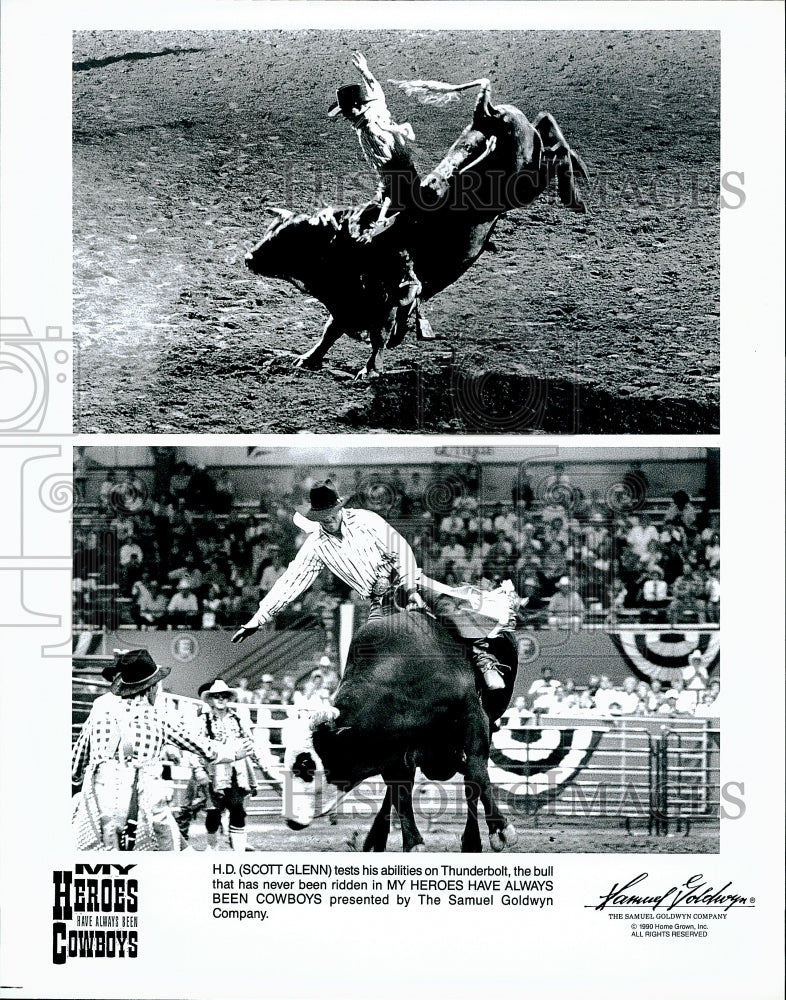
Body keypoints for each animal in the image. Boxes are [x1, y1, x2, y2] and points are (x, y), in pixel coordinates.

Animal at [247, 66, 588, 376]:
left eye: (289, 238)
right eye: (271, 230)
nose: (249, 257)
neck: (350, 243)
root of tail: (487, 114)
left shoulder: (388, 301)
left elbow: (378, 337)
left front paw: (369, 370)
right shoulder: (348, 304)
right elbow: (331, 331)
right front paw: (308, 359)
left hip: (526, 181)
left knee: (555, 149)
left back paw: (575, 192)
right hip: (528, 165)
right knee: (545, 126)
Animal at [278, 600, 516, 852]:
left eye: (306, 764)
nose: (290, 820)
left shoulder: (473, 717)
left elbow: (476, 773)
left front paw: (499, 830)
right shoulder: (395, 747)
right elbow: (399, 793)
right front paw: (412, 842)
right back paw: (374, 839)